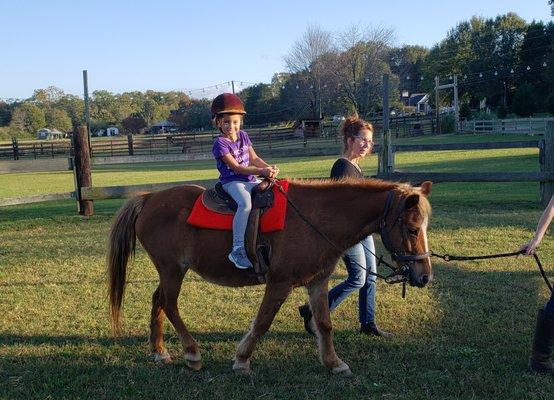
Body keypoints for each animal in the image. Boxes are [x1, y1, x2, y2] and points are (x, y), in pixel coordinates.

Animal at [106, 178, 432, 376]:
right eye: (413, 229)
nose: (424, 275)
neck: (314, 218)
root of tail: (149, 199)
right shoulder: (279, 283)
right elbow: (262, 322)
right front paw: (242, 359)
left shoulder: (317, 281)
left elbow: (324, 324)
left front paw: (333, 362)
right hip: (173, 269)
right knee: (169, 304)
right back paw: (192, 352)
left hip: (169, 271)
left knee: (157, 300)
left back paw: (159, 351)